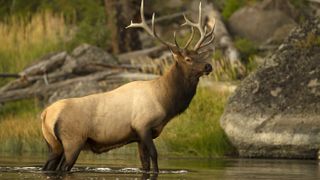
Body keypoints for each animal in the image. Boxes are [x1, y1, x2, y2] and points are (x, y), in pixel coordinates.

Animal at [40, 0, 215, 174]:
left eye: (199, 55)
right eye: (188, 59)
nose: (208, 66)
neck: (165, 102)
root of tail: (46, 113)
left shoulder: (139, 136)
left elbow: (145, 164)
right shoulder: (143, 125)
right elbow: (154, 155)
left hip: (54, 144)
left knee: (48, 166)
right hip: (73, 140)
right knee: (63, 167)